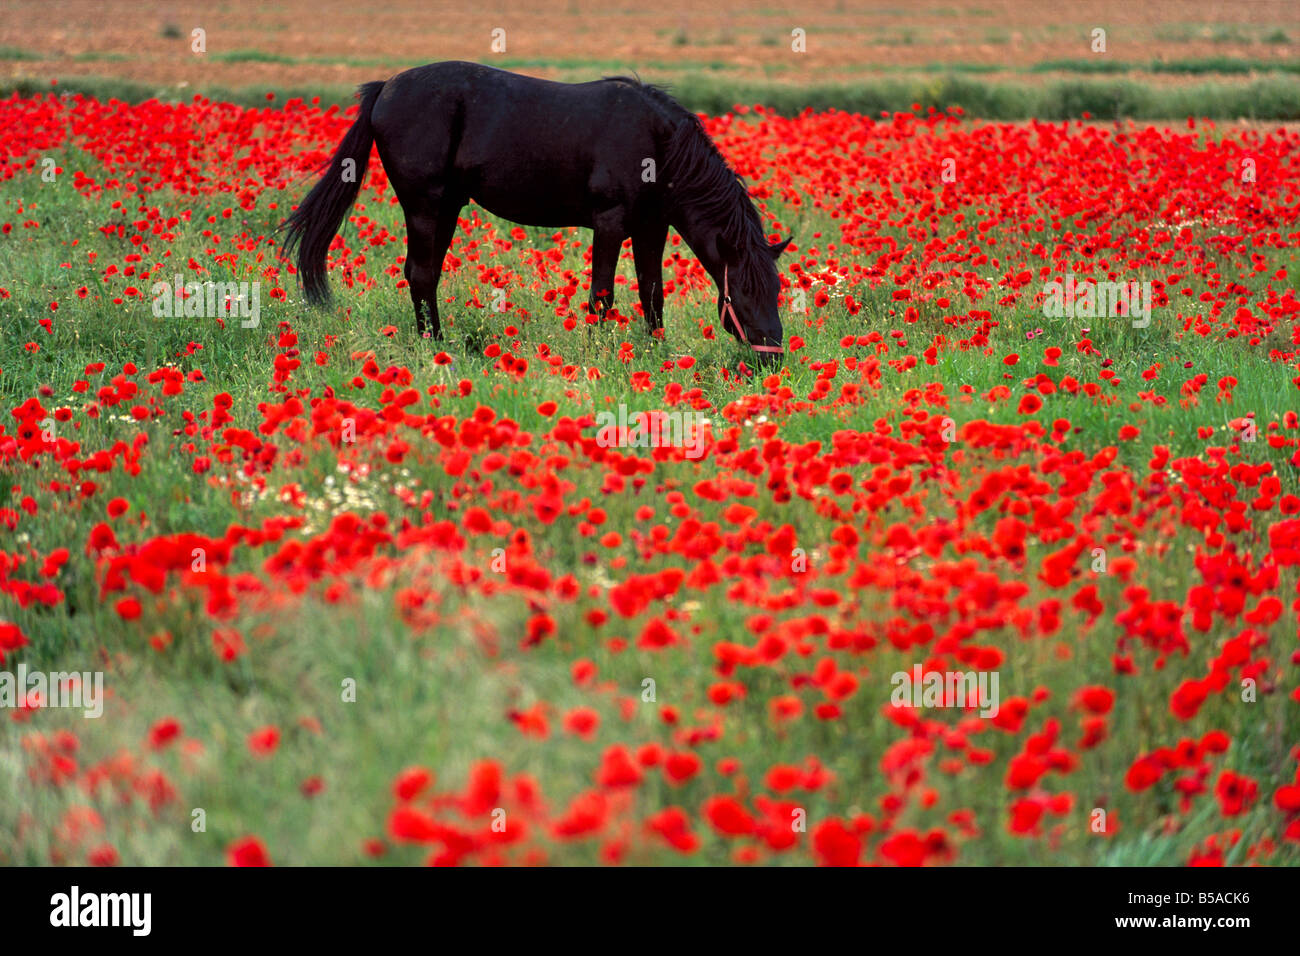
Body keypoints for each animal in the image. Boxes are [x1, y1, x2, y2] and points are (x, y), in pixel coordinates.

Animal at [282, 60, 790, 358]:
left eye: (778, 290)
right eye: (745, 291)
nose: (772, 359)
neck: (656, 143)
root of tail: (385, 87)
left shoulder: (652, 227)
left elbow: (652, 294)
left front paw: (656, 356)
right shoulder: (609, 224)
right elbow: (602, 296)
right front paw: (599, 357)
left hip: (447, 207)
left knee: (425, 275)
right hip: (424, 205)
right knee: (420, 273)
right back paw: (436, 350)